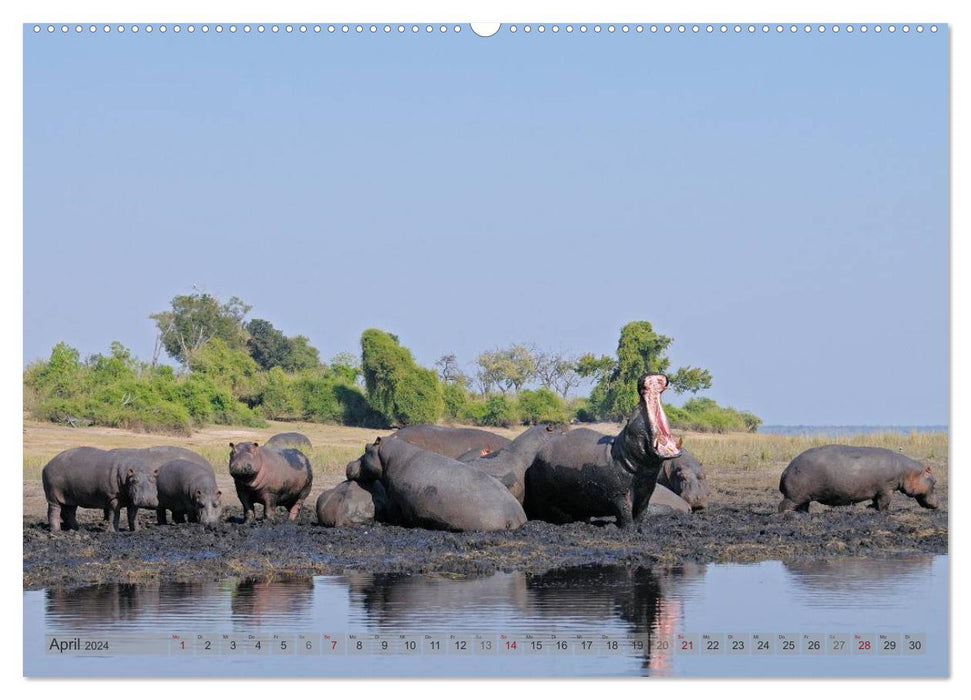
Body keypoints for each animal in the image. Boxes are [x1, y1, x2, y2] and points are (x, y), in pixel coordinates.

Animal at [350, 432, 528, 532]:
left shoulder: (395, 499)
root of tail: (518, 516)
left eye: (366, 448)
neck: (389, 457)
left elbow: (395, 516)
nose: (349, 464)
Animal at [524, 374, 684, 528]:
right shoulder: (619, 494)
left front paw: (638, 528)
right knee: (553, 513)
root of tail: (535, 459)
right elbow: (625, 513)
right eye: (634, 410)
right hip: (546, 499)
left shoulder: (646, 492)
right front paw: (628, 529)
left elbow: (641, 514)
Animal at [776, 446, 940, 512]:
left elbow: (875, 501)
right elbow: (884, 503)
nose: (938, 504)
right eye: (934, 481)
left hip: (804, 497)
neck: (908, 472)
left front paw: (870, 508)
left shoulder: (878, 490)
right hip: (794, 496)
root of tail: (785, 471)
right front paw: (883, 512)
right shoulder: (887, 489)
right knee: (782, 506)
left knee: (803, 507)